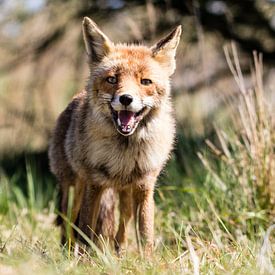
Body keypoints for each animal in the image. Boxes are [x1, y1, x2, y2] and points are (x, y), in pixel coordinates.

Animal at [48, 16, 182, 256]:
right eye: (112, 79)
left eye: (145, 82)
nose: (126, 99)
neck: (124, 153)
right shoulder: (94, 183)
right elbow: (86, 230)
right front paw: (86, 259)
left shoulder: (145, 186)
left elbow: (145, 234)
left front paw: (147, 261)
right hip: (73, 189)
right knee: (69, 225)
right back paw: (68, 254)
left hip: (124, 194)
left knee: (122, 226)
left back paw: (119, 254)